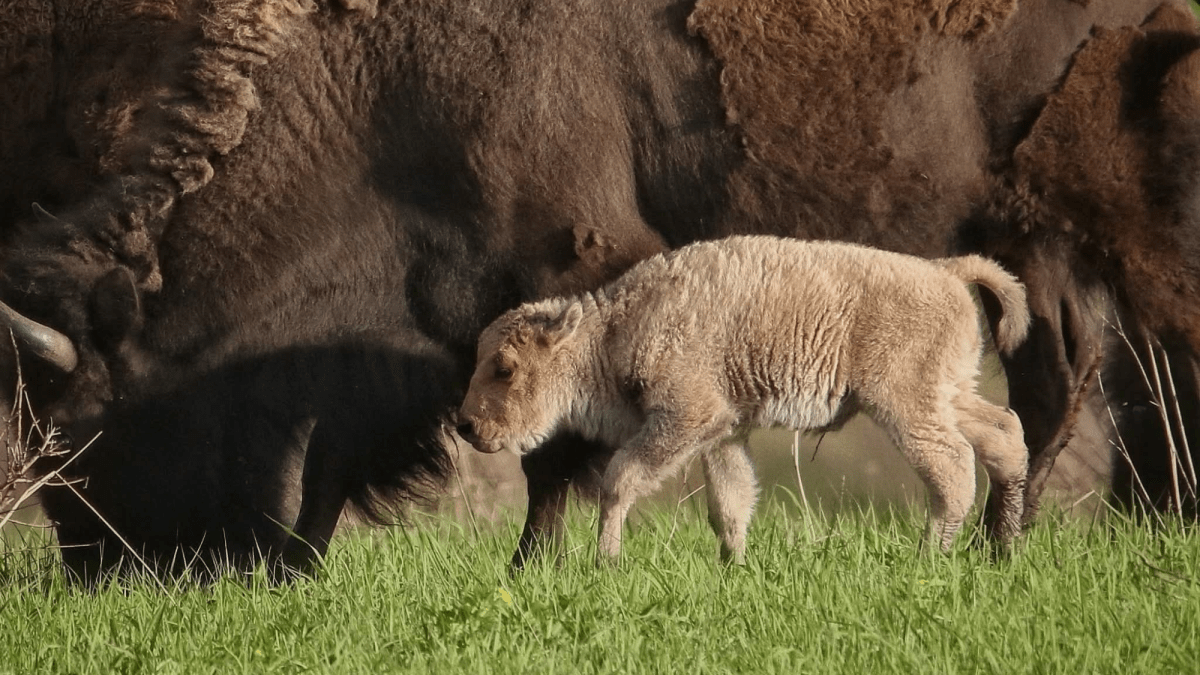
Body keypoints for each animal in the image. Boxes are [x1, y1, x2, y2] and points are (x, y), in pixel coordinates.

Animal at [0, 0, 1198, 582]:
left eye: (85, 438)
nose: (103, 575)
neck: (389, 88)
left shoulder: (563, 274)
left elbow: (555, 454)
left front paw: (535, 566)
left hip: (1129, 210)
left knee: (1144, 368)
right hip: (1027, 248)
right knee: (1046, 395)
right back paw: (1009, 541)